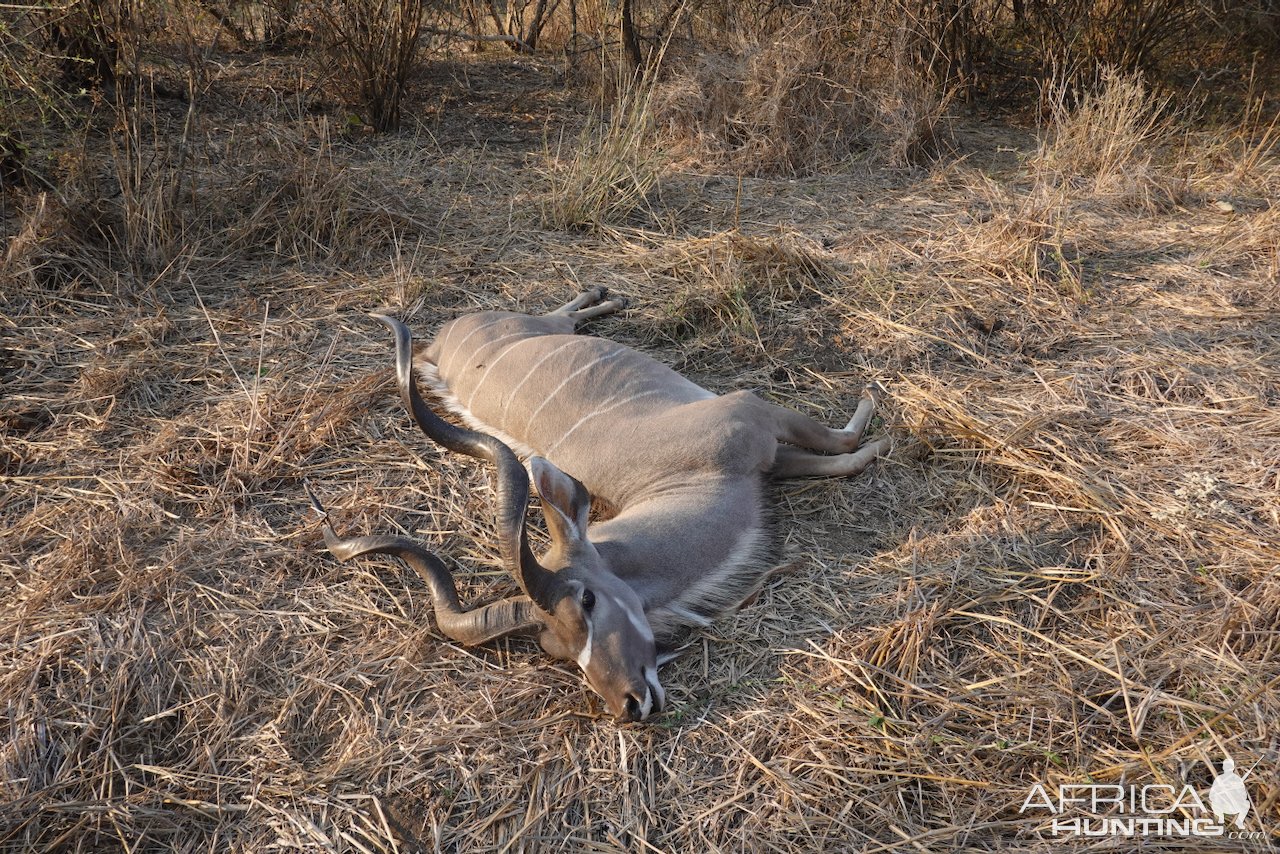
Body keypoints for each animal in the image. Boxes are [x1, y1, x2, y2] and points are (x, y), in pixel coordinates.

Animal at [309, 286, 890, 722]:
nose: (629, 705)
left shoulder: (755, 416)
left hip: (535, 324)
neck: (676, 477)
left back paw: (605, 296)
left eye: (587, 600)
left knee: (559, 316)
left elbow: (843, 444)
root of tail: (439, 343)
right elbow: (840, 457)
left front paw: (876, 410)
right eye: (557, 649)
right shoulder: (766, 459)